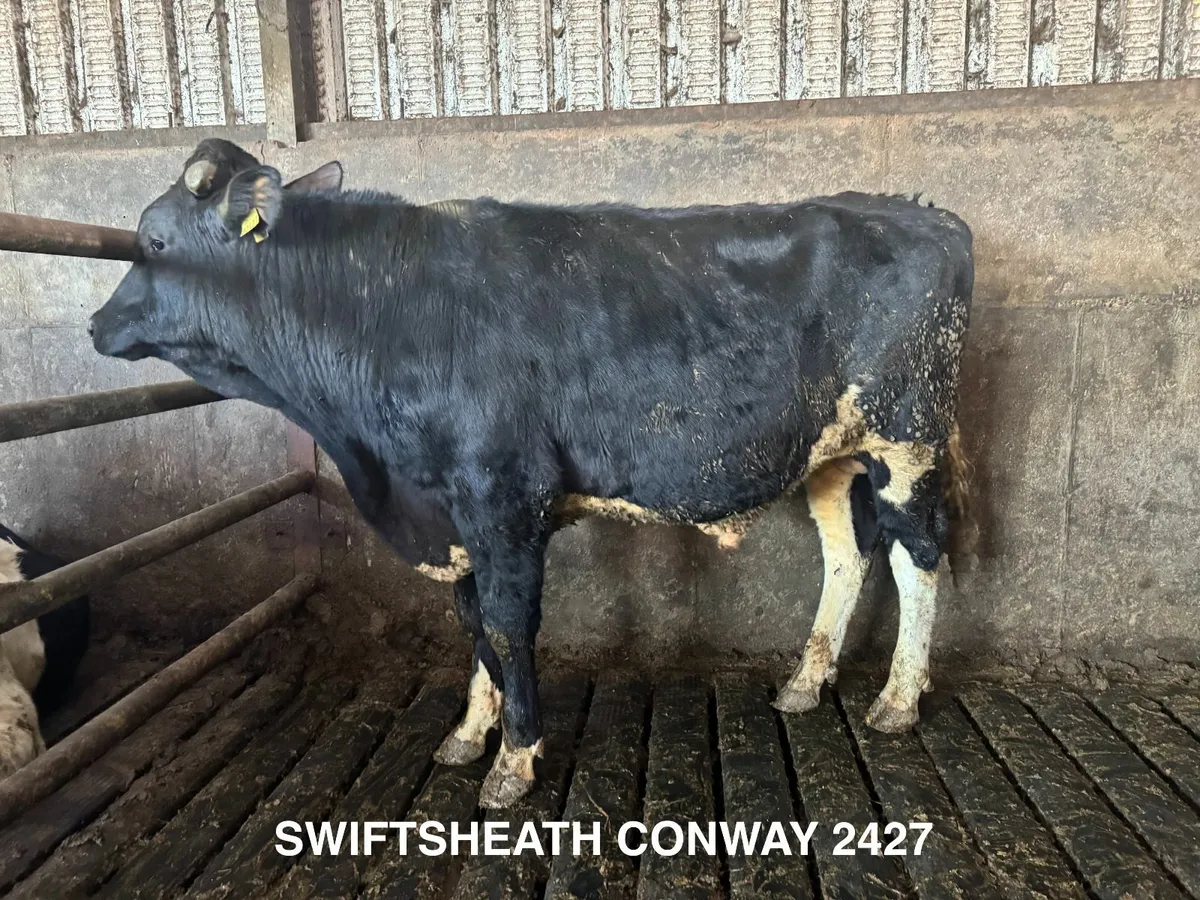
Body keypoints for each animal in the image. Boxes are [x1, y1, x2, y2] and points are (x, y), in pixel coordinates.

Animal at [88, 138, 973, 808]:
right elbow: (471, 622)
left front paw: (513, 761)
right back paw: (805, 681)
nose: (95, 323)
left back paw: (897, 699)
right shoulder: (450, 513)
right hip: (831, 454)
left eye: (153, 241)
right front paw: (466, 735)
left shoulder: (501, 497)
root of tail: (924, 211)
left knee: (918, 556)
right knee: (847, 553)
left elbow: (509, 626)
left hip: (907, 440)